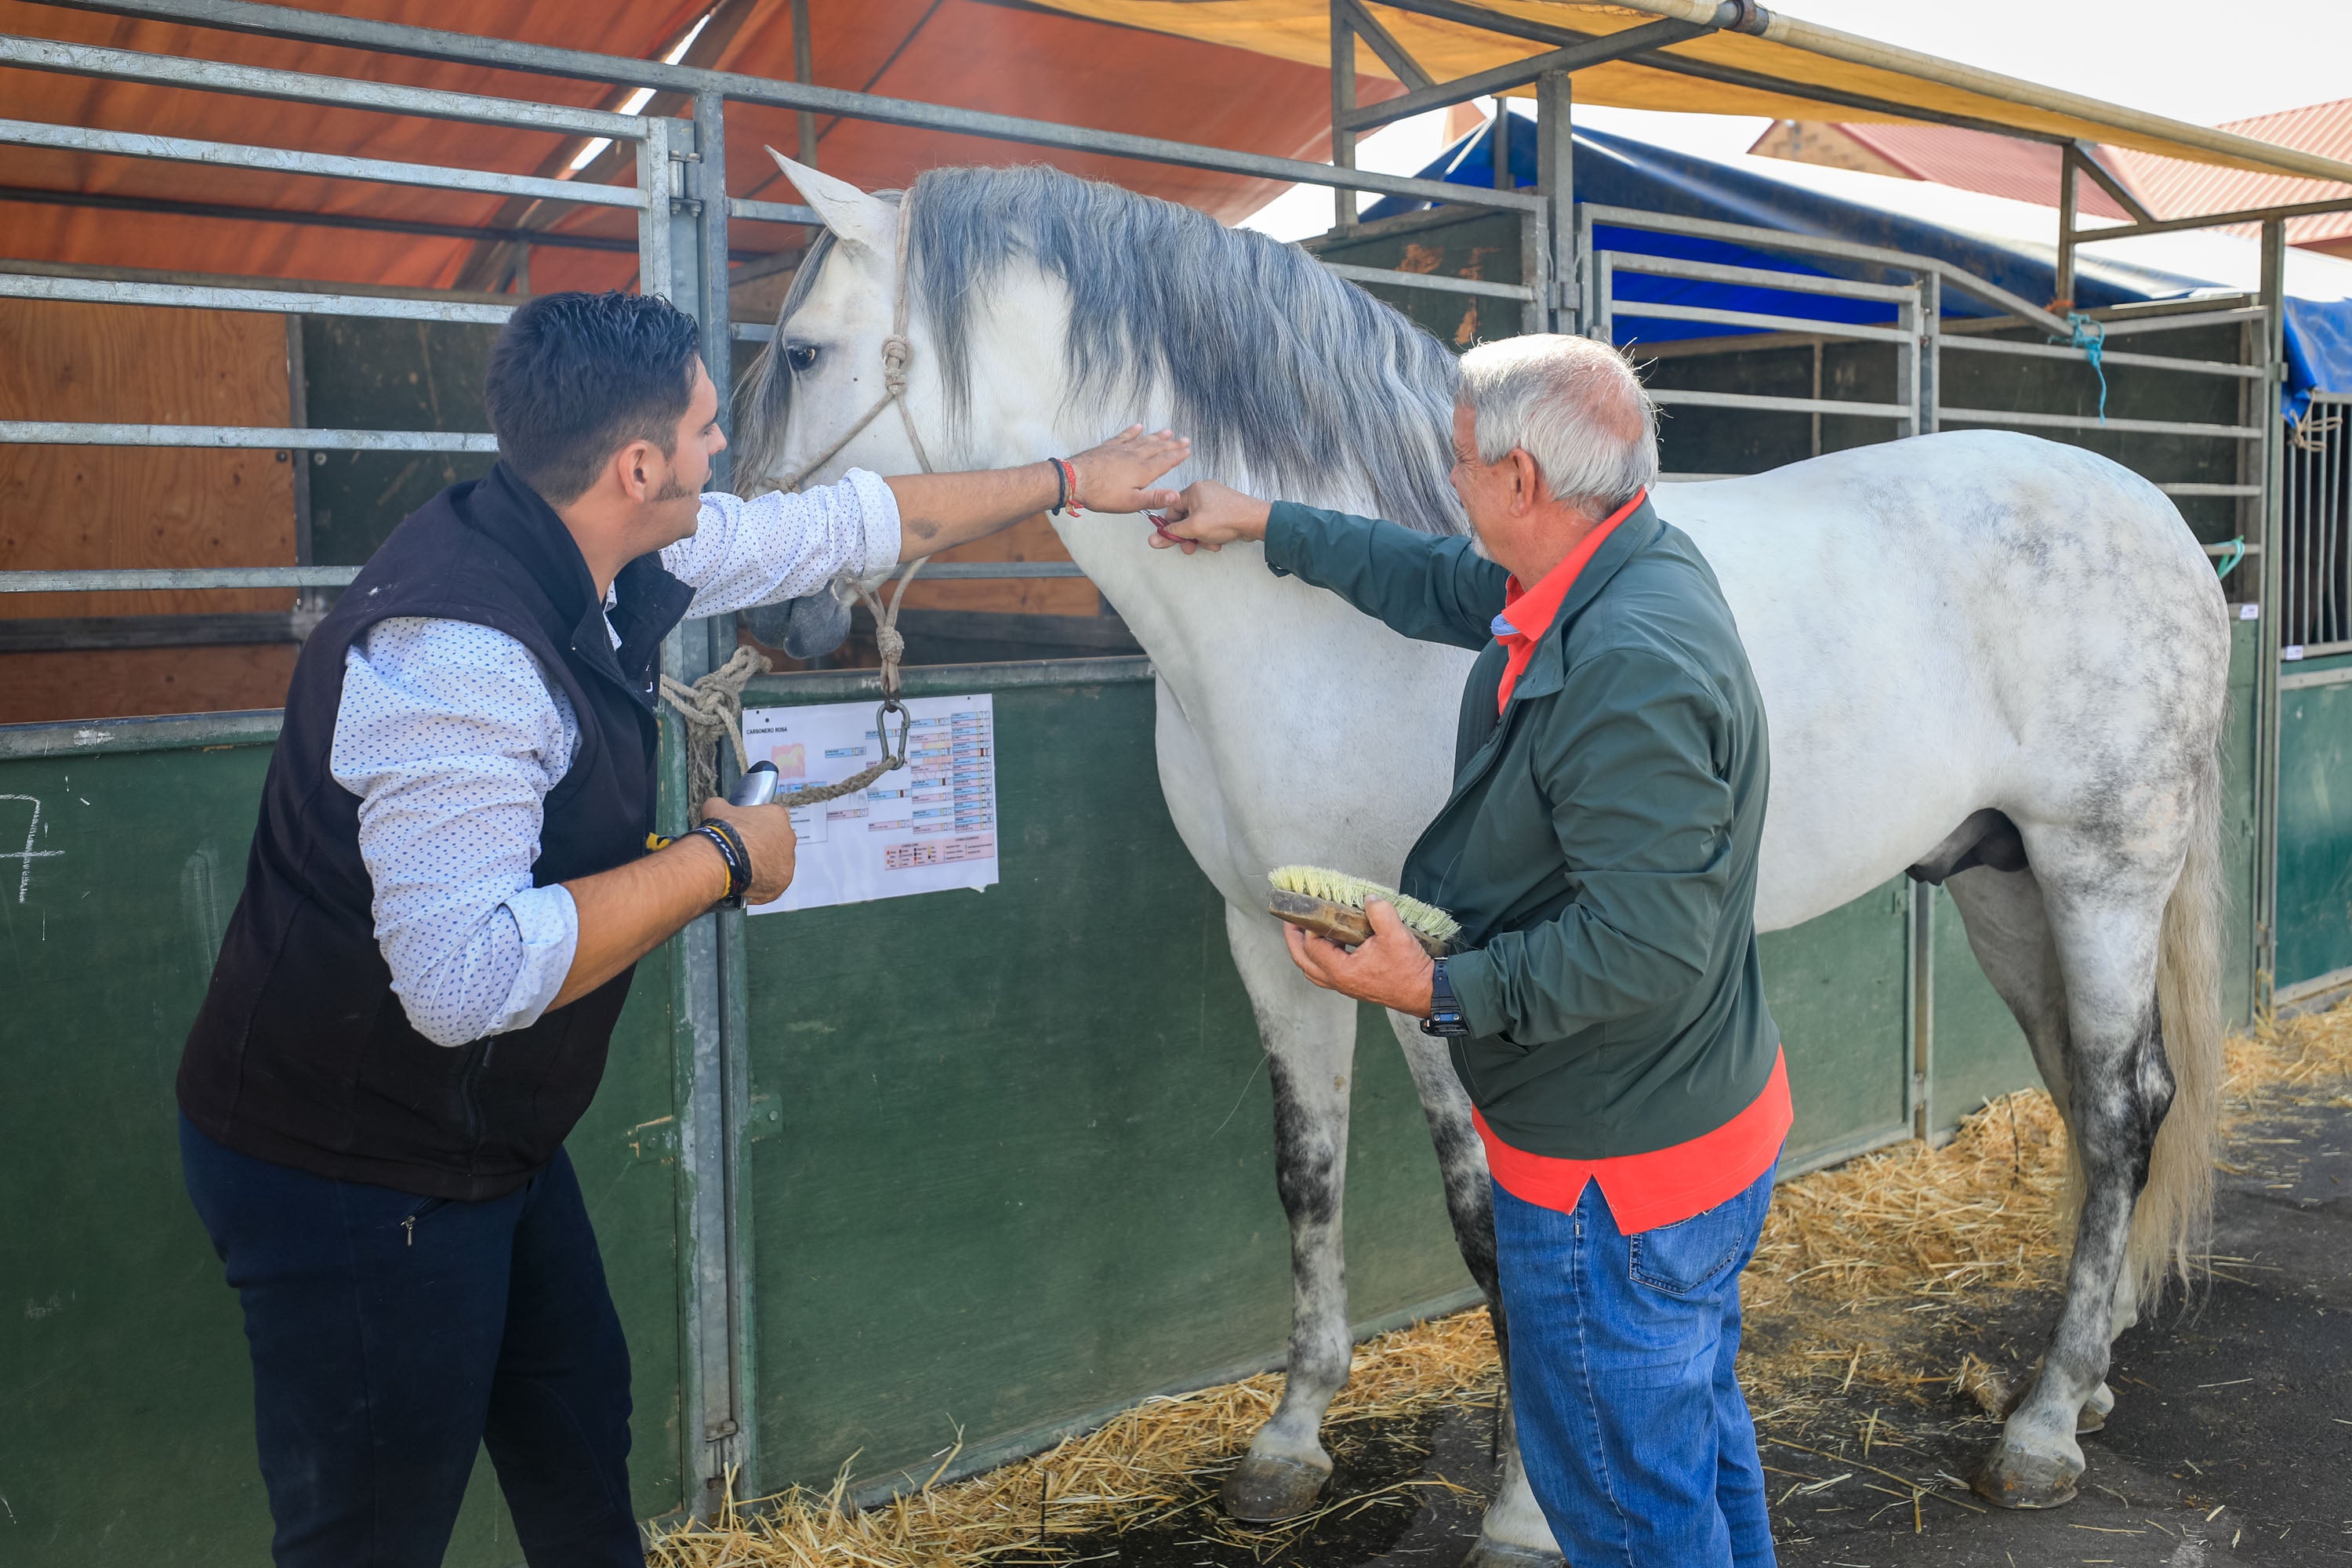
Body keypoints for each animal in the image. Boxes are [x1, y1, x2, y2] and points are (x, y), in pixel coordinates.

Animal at [743, 156, 2230, 1561]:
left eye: (802, 352)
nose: (770, 612)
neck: (1294, 630)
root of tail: (2159, 518)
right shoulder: (1265, 935)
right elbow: (1306, 1176)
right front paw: (1290, 1442)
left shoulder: (1446, 963)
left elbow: (1492, 1222)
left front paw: (1525, 1509)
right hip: (2001, 884)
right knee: (2093, 1097)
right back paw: (2088, 1367)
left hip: (2100, 874)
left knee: (2118, 1107)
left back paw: (2044, 1430)